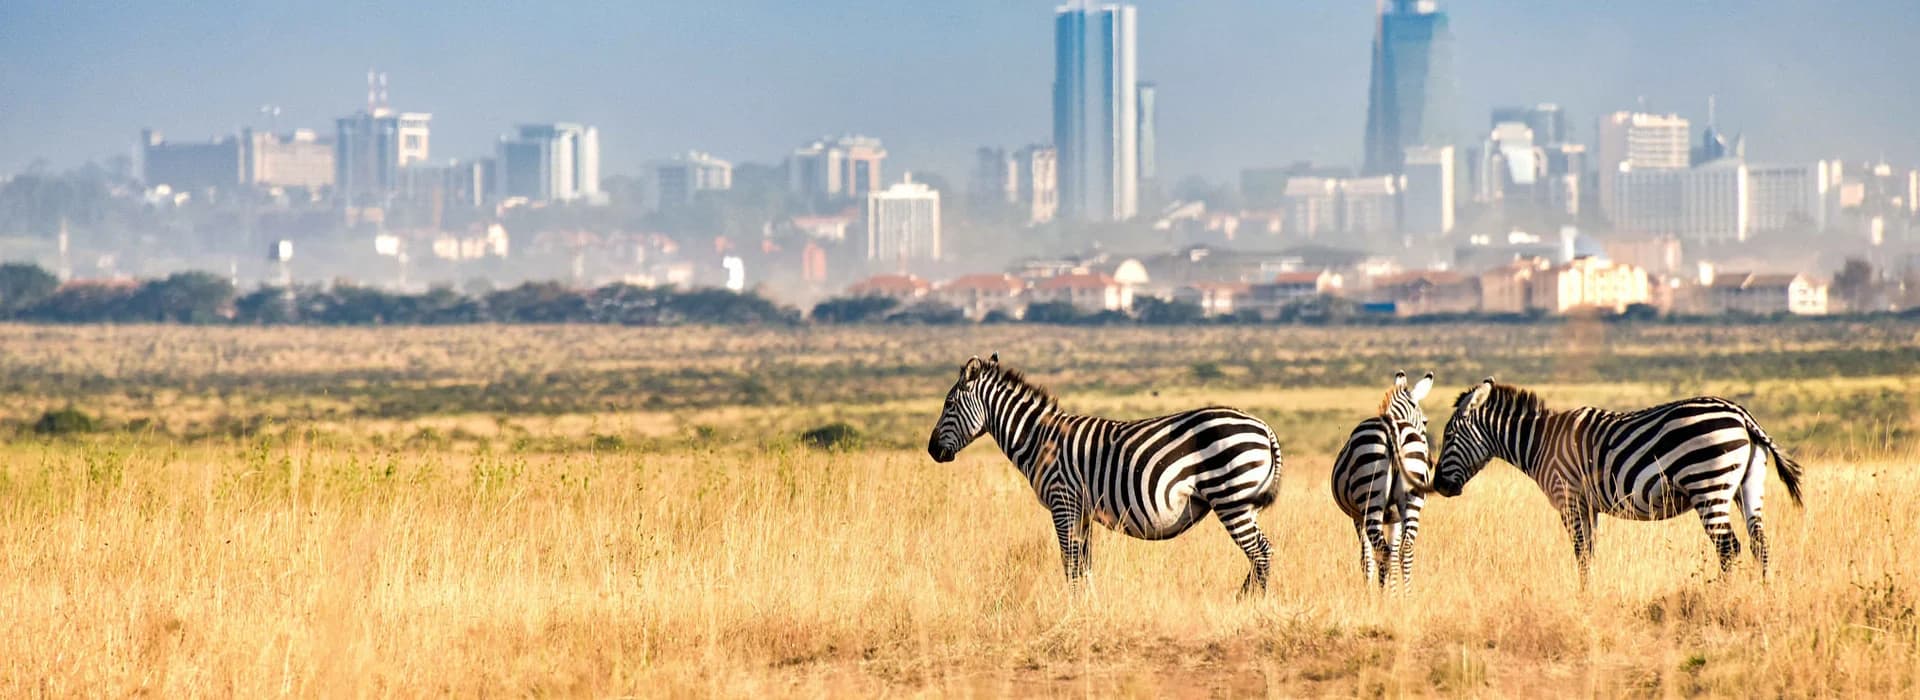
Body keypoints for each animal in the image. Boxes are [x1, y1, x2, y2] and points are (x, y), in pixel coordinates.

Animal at [926, 354, 1285, 594]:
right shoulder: (1081, 510)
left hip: (1230, 498)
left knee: (1261, 552)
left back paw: (1249, 602)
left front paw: (1073, 607)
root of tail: (1264, 427)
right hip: (1244, 503)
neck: (1038, 439)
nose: (931, 450)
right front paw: (1089, 604)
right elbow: (1084, 564)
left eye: (949, 404)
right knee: (1260, 552)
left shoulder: (1063, 502)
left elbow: (1069, 561)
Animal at [1330, 370, 1435, 591]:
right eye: (1426, 422)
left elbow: (1367, 559)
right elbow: (1393, 555)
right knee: (1405, 550)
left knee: (1383, 552)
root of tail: (1392, 426)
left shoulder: (1357, 517)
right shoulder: (1395, 517)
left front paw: (1371, 591)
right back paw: (1406, 595)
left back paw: (1384, 594)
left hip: (1370, 499)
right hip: (1411, 501)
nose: (1430, 462)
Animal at [1424, 378, 1806, 584]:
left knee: (1729, 547)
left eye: (1448, 435)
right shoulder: (1587, 504)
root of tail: (1742, 416)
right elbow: (1590, 552)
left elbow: (1580, 551)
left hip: (1707, 484)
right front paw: (1590, 593)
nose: (1438, 486)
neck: (1540, 442)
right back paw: (1763, 594)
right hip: (1748, 486)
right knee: (1759, 543)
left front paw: (1582, 598)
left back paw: (1720, 597)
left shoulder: (1568, 498)